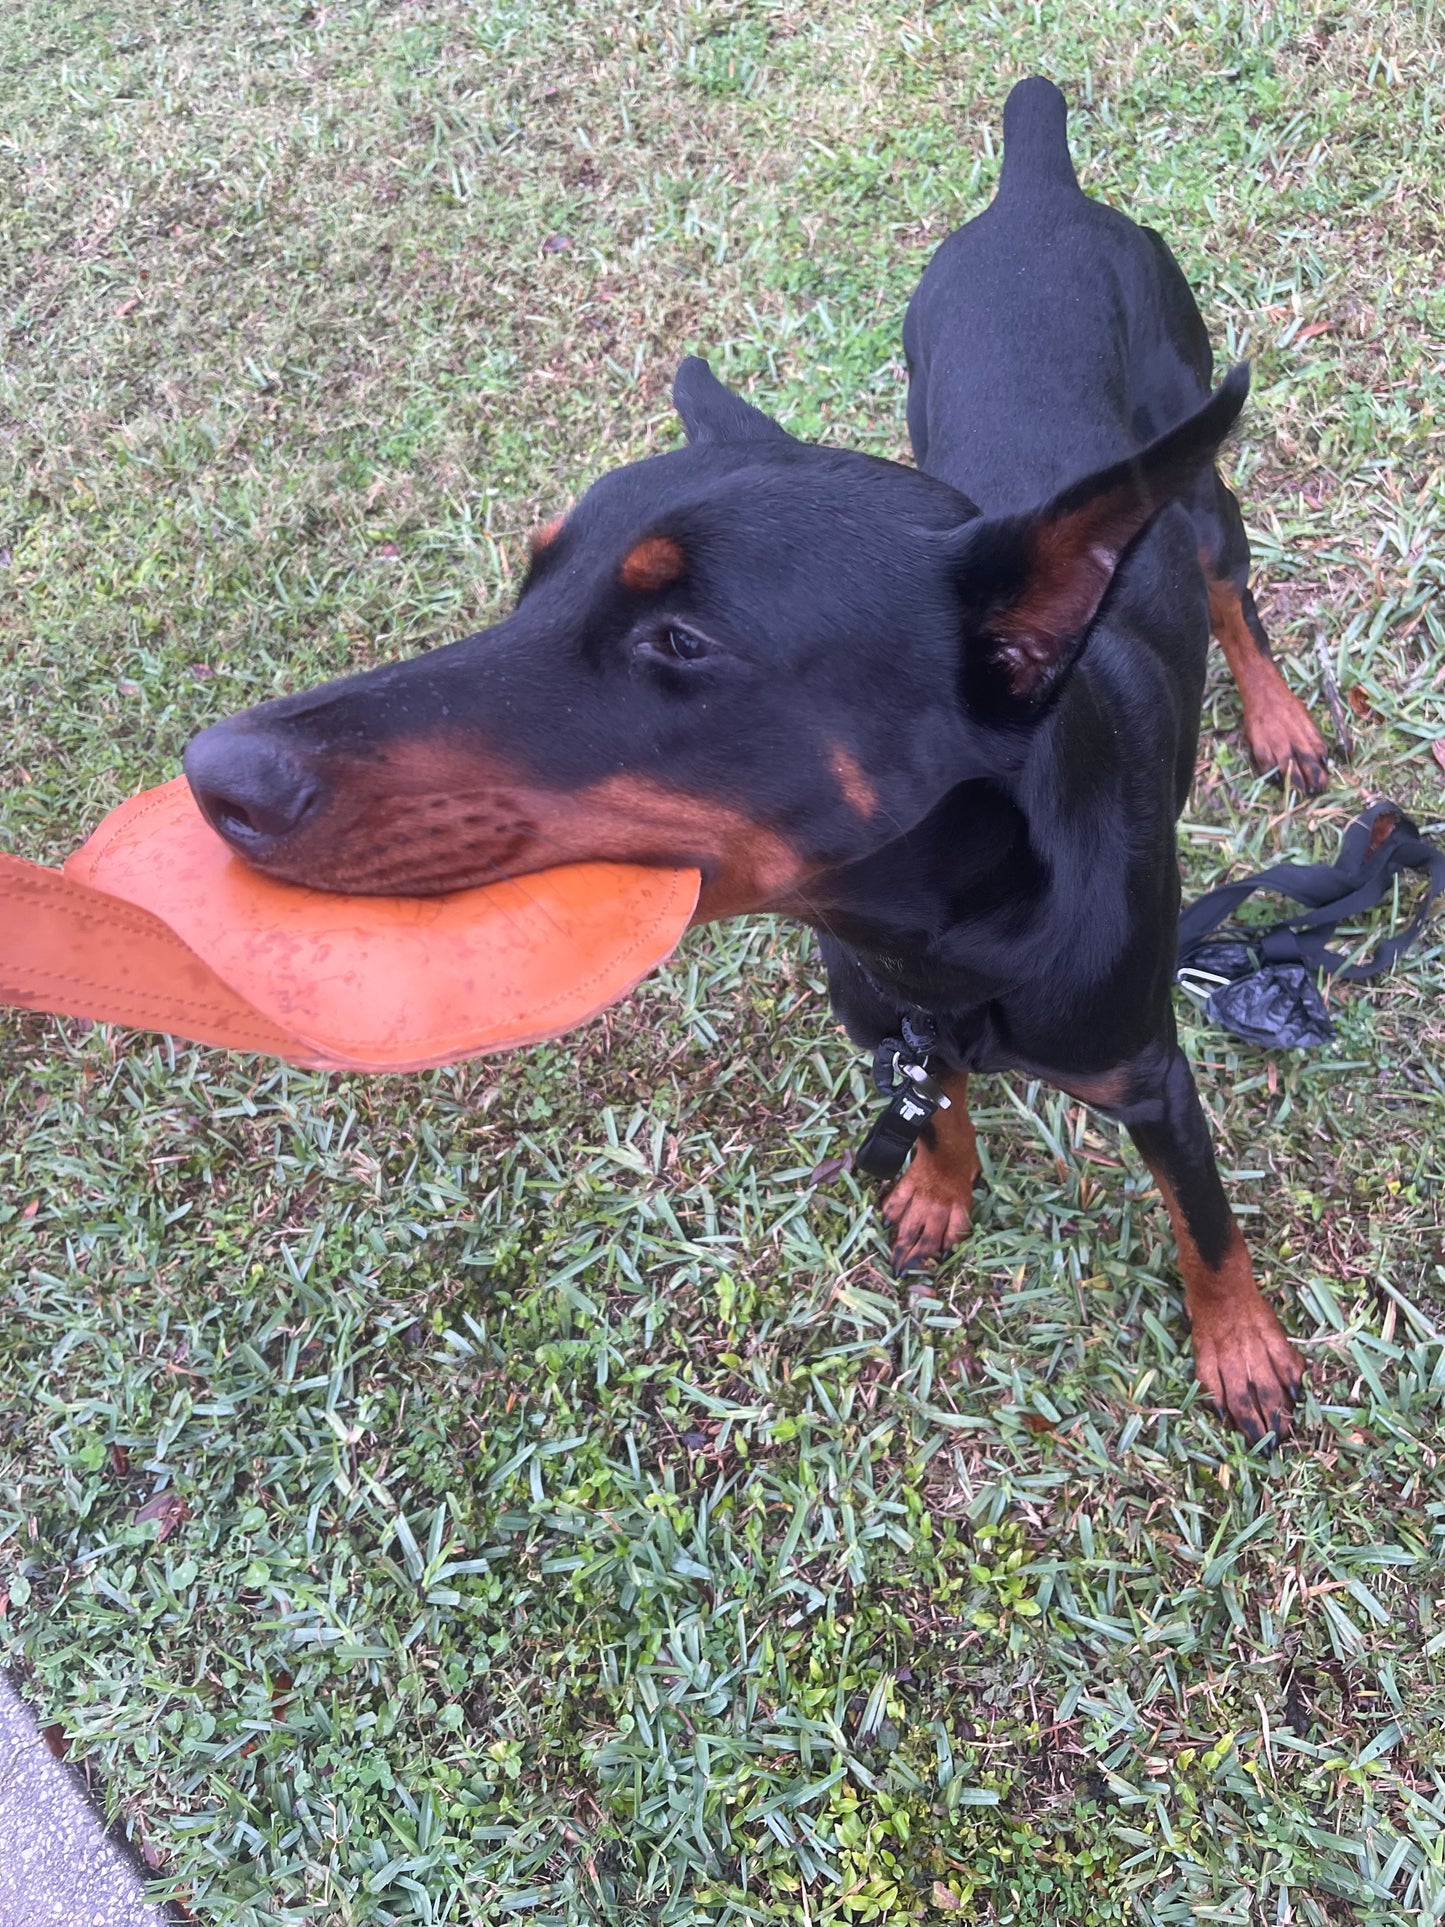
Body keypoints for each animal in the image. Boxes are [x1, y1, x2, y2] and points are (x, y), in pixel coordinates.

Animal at [186, 82, 1333, 1441]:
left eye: (681, 640)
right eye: (529, 582)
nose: (215, 774)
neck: (946, 940)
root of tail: (1037, 185)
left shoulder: (1149, 1076)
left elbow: (1204, 1228)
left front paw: (1240, 1346)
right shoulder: (889, 1024)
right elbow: (935, 1104)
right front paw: (938, 1186)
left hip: (1191, 471)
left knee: (1226, 585)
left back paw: (1277, 718)